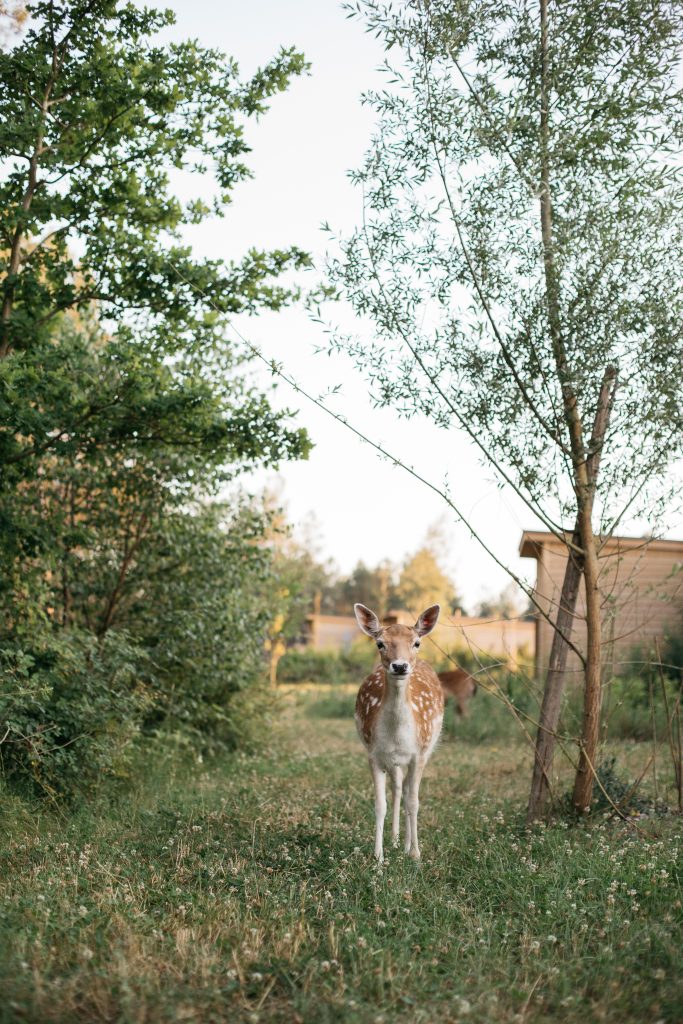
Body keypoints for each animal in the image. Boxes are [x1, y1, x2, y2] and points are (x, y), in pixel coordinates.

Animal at [356, 602, 446, 860]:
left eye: (416, 642)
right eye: (380, 643)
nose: (399, 665)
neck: (397, 735)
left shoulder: (419, 754)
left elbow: (414, 802)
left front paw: (415, 855)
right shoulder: (374, 755)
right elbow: (380, 805)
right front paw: (378, 857)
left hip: (427, 748)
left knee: (406, 791)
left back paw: (406, 845)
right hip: (393, 760)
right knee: (397, 788)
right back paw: (396, 839)